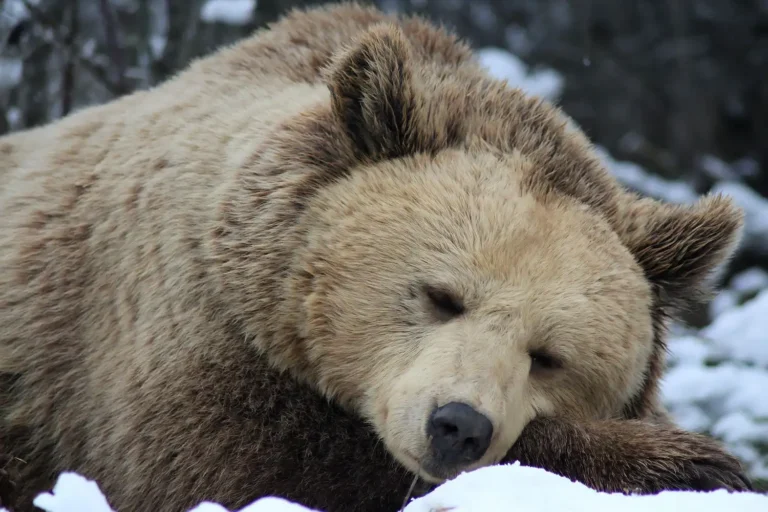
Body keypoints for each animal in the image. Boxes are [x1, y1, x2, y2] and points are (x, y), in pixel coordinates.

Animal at [0, 2, 753, 511]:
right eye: (441, 295)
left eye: (549, 356)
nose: (458, 426)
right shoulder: (167, 338)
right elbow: (257, 467)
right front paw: (692, 463)